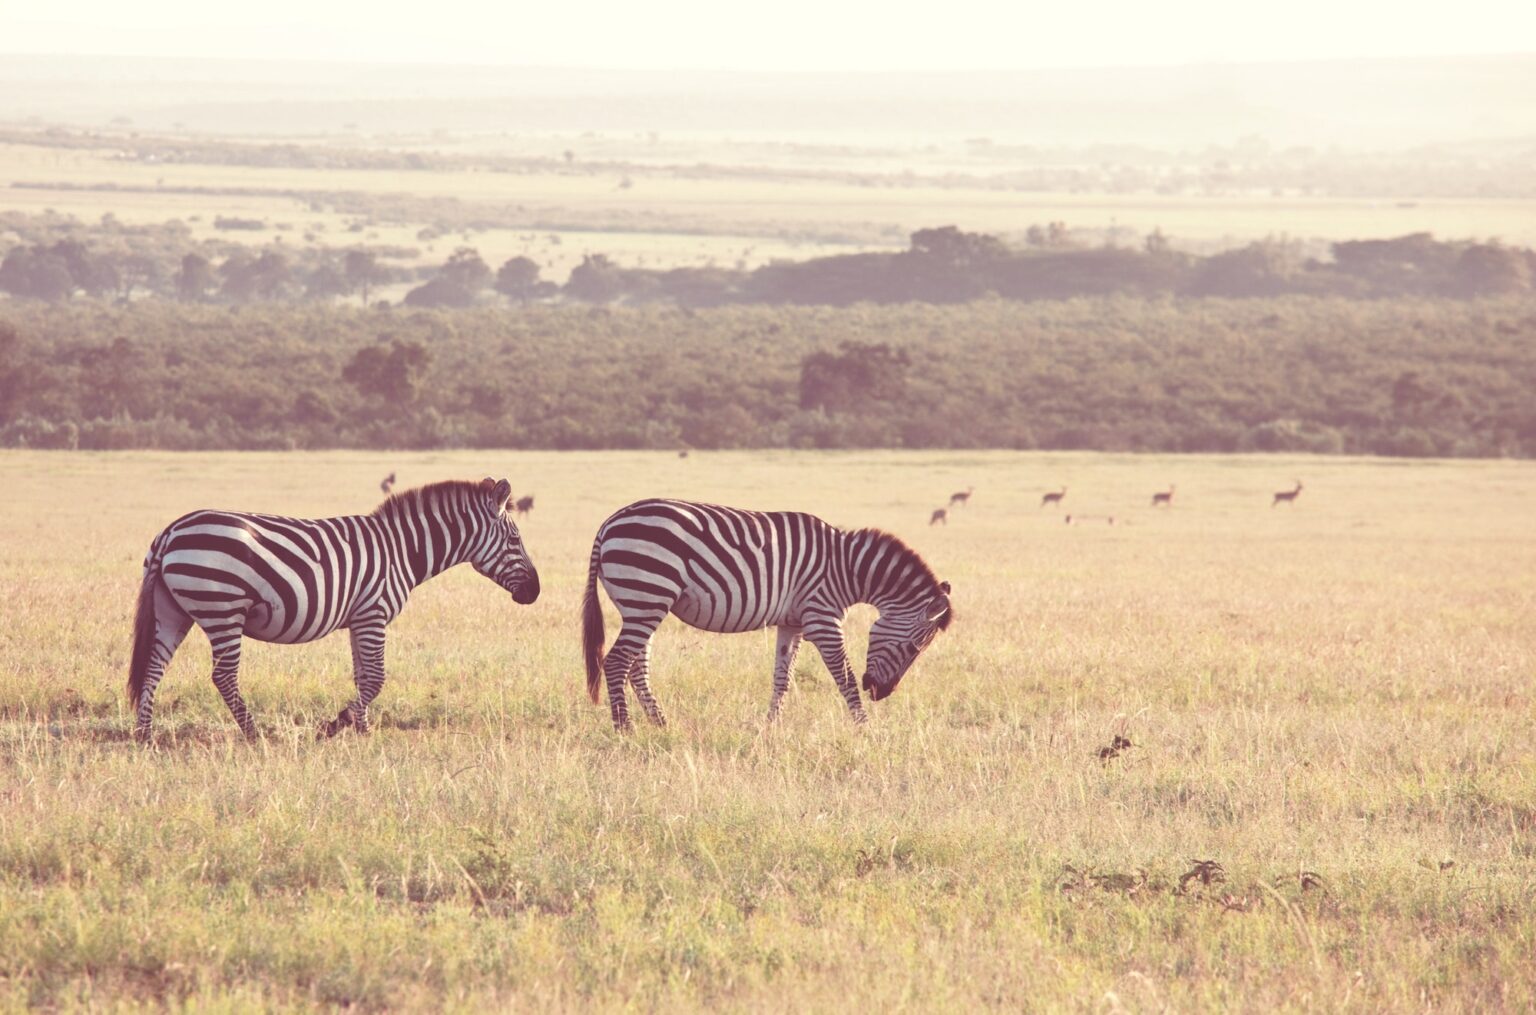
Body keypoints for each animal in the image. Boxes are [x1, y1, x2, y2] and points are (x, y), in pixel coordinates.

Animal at [129, 479, 543, 740]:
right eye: (515, 538)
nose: (535, 592)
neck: (401, 550)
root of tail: (171, 532)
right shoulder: (374, 614)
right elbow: (375, 678)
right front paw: (335, 725)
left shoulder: (360, 619)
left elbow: (362, 676)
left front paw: (361, 728)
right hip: (222, 608)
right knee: (224, 676)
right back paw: (253, 732)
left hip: (173, 612)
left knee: (153, 667)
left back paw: (145, 735)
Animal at [580, 497, 952, 727]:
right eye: (912, 649)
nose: (879, 692)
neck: (847, 569)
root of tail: (608, 524)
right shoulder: (822, 618)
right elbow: (844, 676)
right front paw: (864, 728)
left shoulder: (793, 623)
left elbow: (782, 677)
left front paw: (771, 726)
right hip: (648, 594)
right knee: (617, 662)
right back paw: (625, 729)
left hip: (643, 604)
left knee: (636, 667)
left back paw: (661, 725)